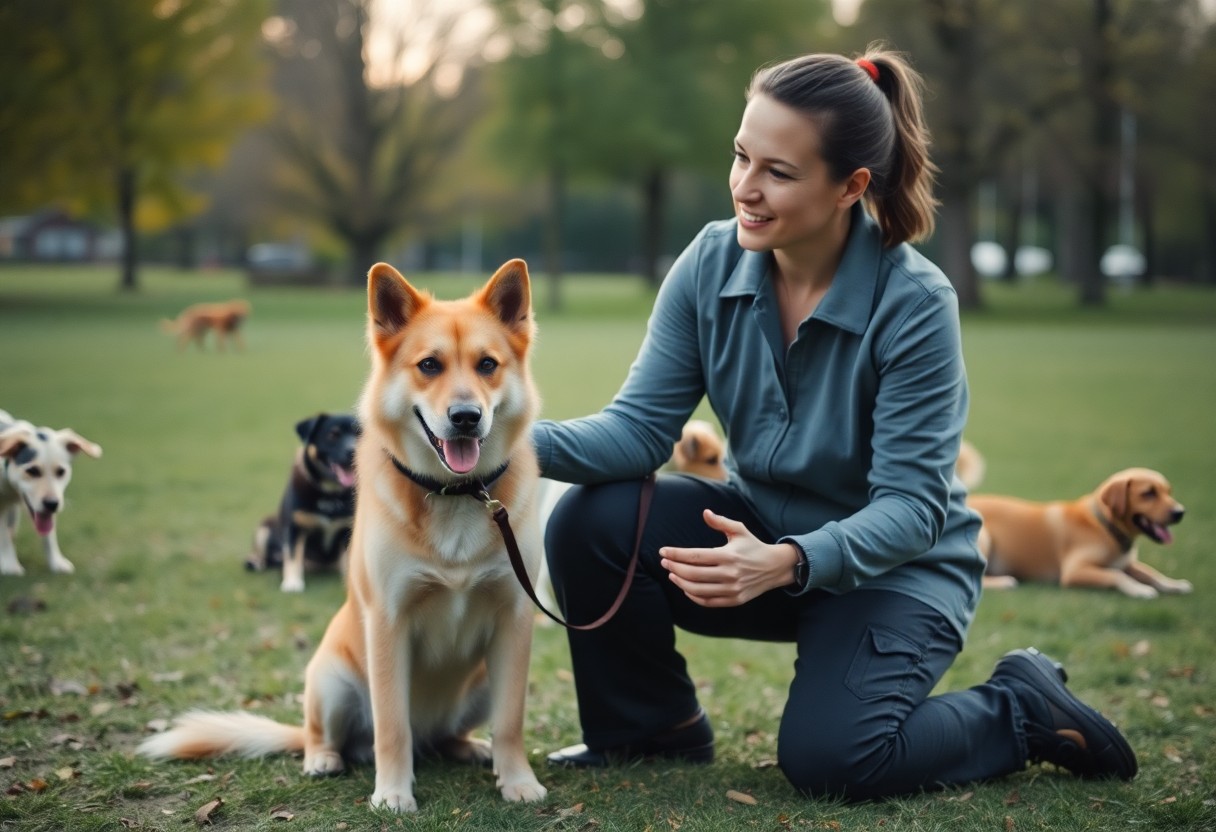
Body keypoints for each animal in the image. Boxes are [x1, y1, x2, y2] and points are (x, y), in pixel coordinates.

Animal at [246, 413, 357, 588]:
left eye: (359, 433)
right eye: (332, 435)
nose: (353, 450)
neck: (330, 493)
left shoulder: (347, 529)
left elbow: (349, 561)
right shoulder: (295, 528)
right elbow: (292, 557)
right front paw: (292, 584)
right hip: (264, 528)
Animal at [972, 467, 1191, 598]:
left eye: (1168, 492)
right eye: (1148, 493)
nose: (1180, 512)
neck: (1104, 526)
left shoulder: (1126, 564)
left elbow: (1152, 573)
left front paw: (1174, 585)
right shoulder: (1075, 571)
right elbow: (1115, 575)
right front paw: (1139, 589)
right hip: (984, 537)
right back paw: (1003, 581)